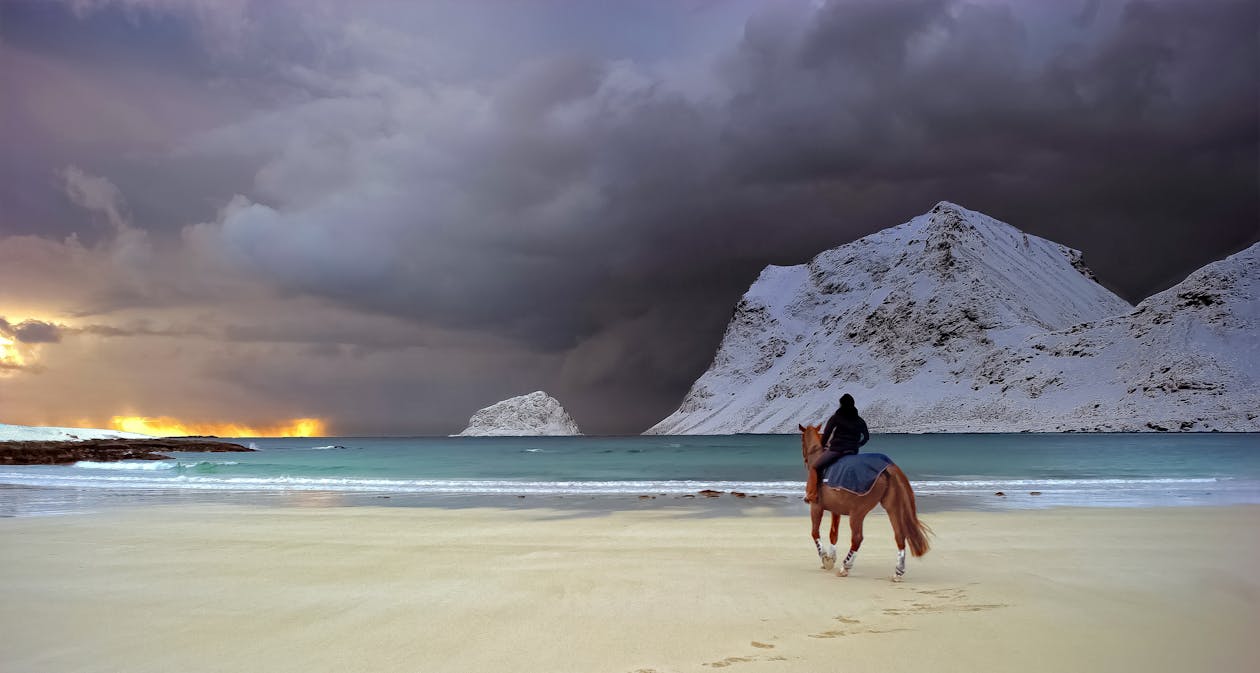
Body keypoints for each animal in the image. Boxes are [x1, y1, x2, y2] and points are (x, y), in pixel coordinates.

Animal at [796, 425, 927, 582]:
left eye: (801, 440)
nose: (804, 460)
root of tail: (888, 467)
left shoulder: (816, 507)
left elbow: (815, 532)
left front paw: (825, 558)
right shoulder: (836, 510)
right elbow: (833, 534)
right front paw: (831, 557)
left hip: (857, 512)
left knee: (857, 538)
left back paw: (845, 567)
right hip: (892, 507)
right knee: (899, 535)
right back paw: (898, 572)